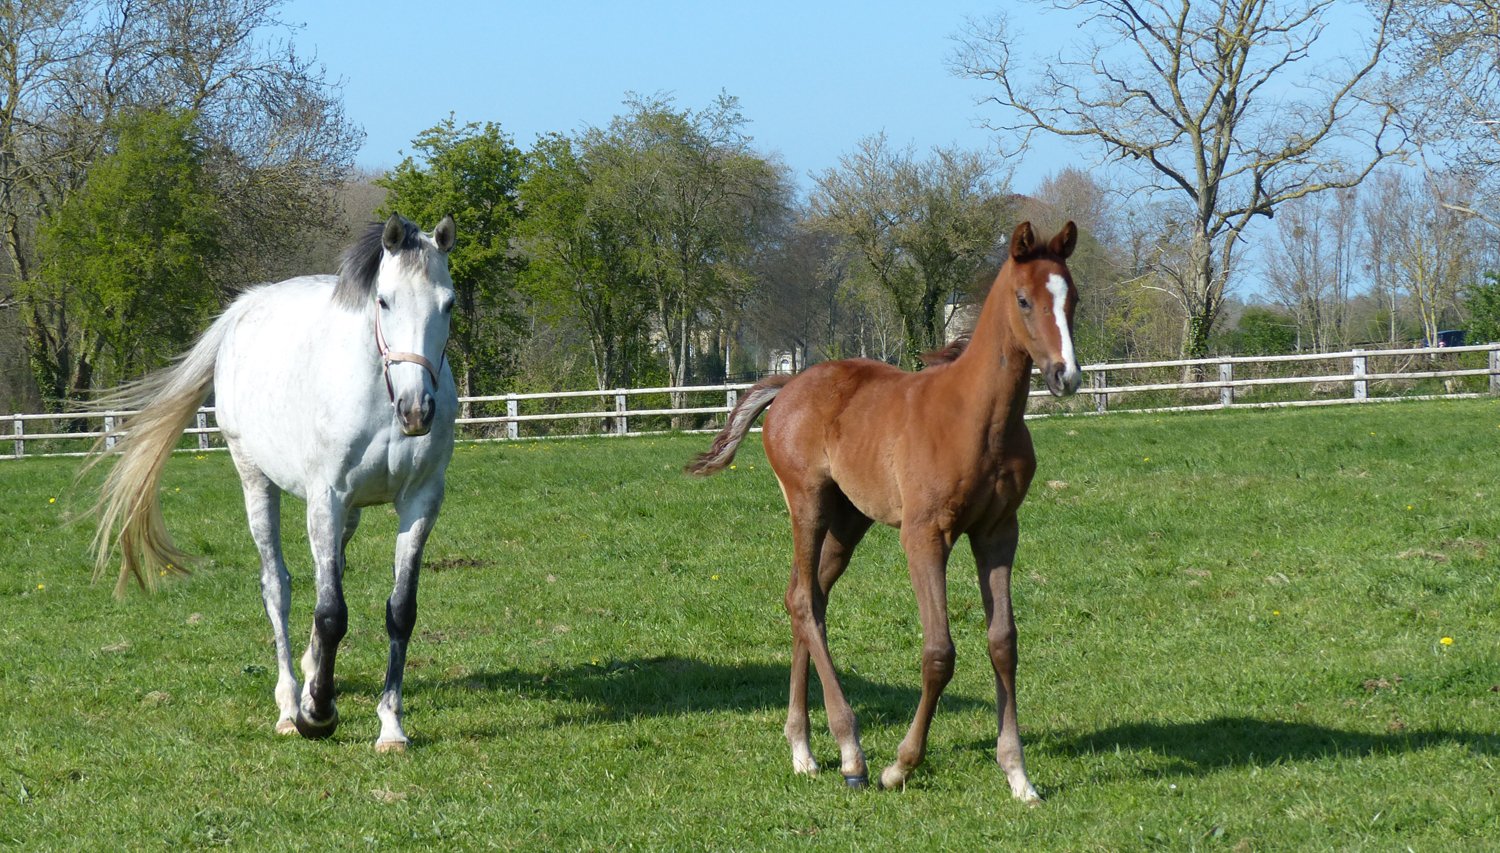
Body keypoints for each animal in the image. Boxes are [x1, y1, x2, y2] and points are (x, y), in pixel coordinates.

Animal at [87, 214, 459, 752]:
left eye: (449, 303)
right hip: (257, 482)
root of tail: (247, 306)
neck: (379, 396)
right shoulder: (327, 497)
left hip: (349, 513)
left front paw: (390, 725)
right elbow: (331, 613)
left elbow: (399, 611)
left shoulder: (420, 502)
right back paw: (289, 704)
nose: (416, 410)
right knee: (277, 587)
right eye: (384, 301)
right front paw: (318, 714)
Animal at [688, 221, 1081, 795]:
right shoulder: (924, 535)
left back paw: (803, 746)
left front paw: (1017, 775)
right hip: (808, 503)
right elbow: (939, 652)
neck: (977, 418)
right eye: (1024, 299)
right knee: (804, 600)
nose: (1066, 376)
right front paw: (901, 765)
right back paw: (849, 752)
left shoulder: (998, 531)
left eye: (1073, 298)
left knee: (807, 598)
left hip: (849, 521)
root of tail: (789, 383)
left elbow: (1003, 643)